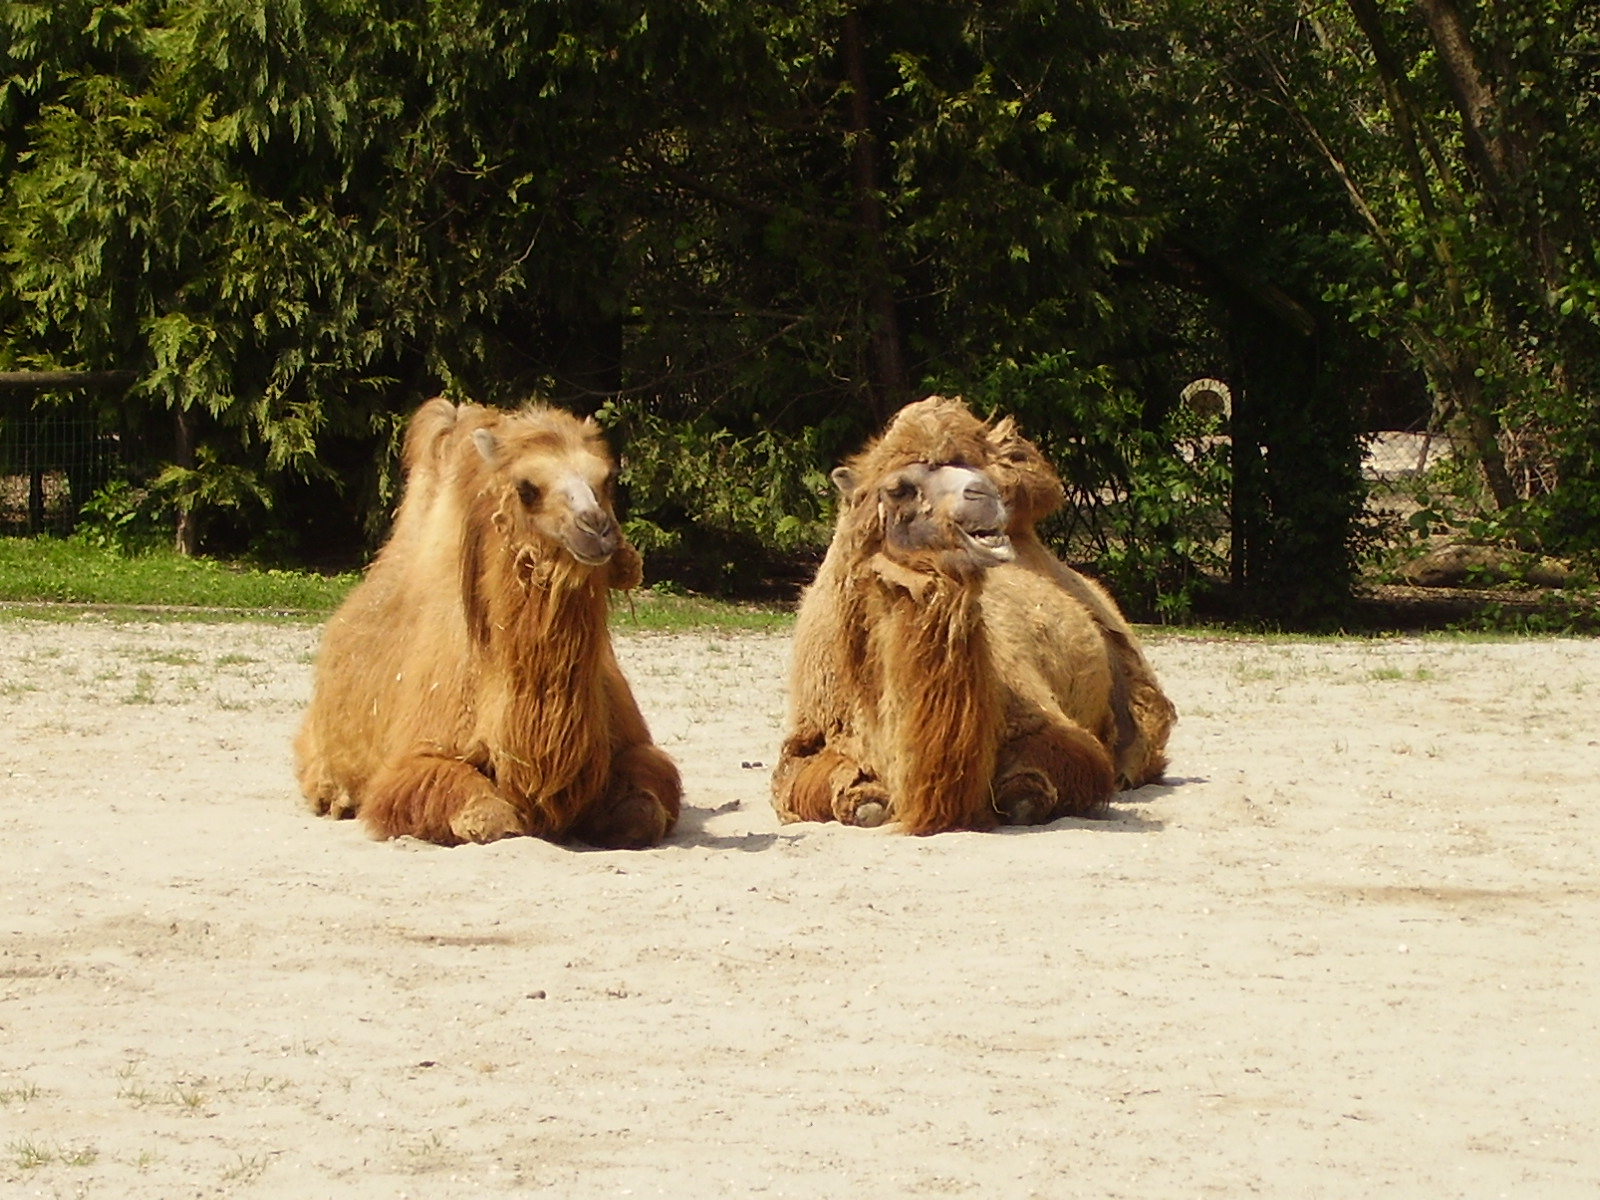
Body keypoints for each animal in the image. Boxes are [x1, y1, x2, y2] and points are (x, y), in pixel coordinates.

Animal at [294, 398, 681, 848]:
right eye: (527, 487)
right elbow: (488, 816)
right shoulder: (417, 757)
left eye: (606, 480)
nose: (597, 529)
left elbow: (643, 808)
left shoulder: (633, 747)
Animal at [771, 395, 1174, 835]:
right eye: (898, 489)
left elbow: (1037, 787)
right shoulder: (810, 742)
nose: (984, 494)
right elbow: (840, 796)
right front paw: (863, 798)